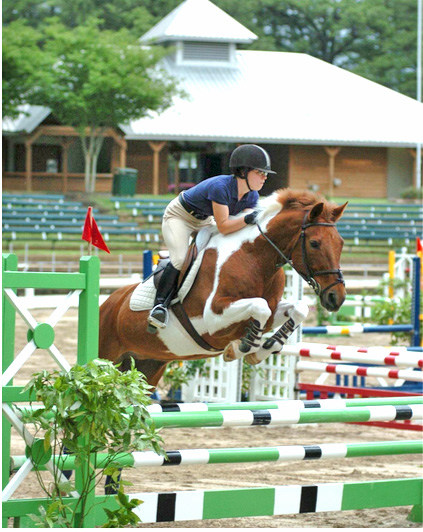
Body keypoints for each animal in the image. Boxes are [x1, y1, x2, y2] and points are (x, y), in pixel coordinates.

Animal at [99, 189, 348, 388]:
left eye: (341, 243)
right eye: (314, 243)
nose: (336, 298)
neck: (254, 256)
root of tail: (107, 303)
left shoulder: (271, 312)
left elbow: (297, 309)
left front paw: (263, 348)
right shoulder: (211, 319)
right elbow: (260, 307)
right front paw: (240, 348)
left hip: (147, 365)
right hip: (105, 357)